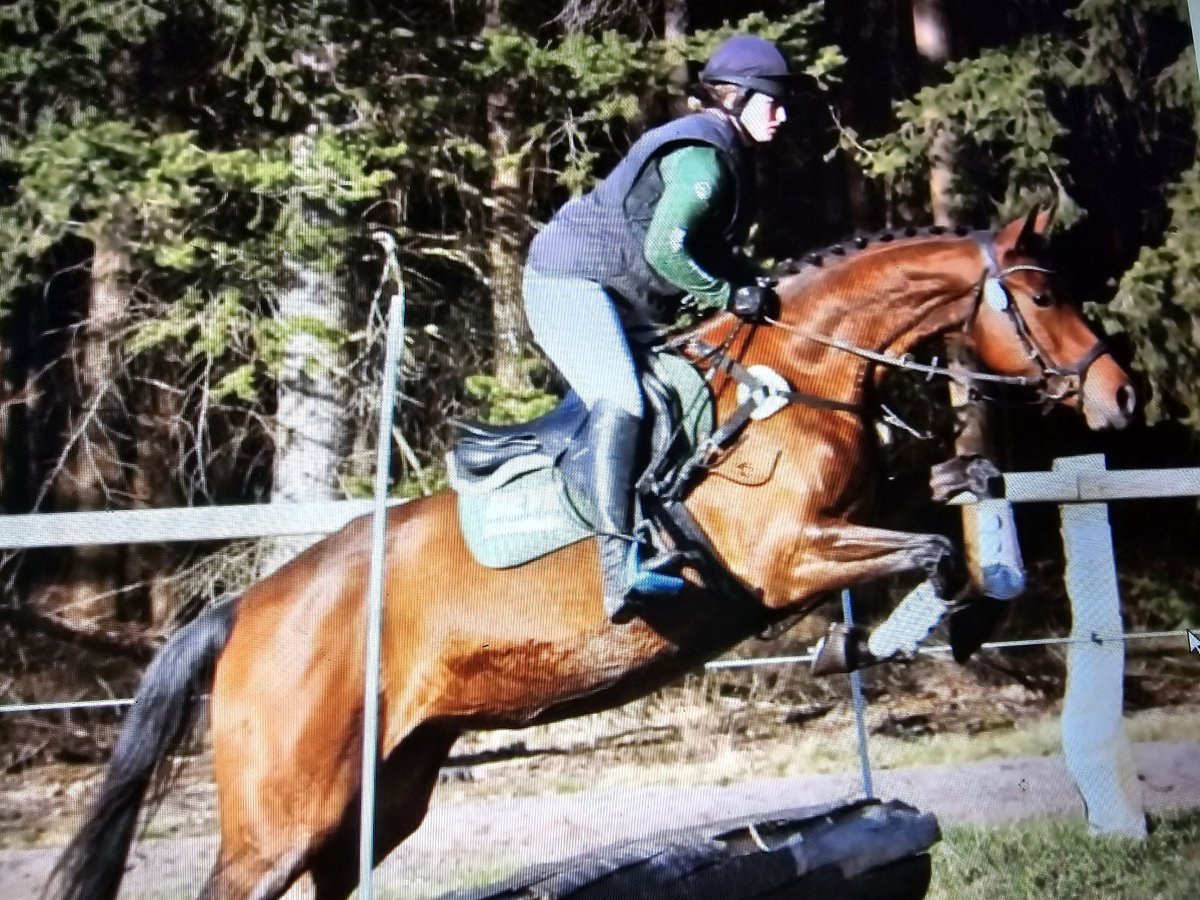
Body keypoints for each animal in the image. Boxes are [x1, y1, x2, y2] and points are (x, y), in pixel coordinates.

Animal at [46, 211, 1132, 900]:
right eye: (1042, 294)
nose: (1117, 397)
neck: (801, 371)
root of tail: (248, 612)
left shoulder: (863, 508)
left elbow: (965, 489)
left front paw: (973, 613)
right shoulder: (786, 558)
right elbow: (926, 551)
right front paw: (866, 644)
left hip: (378, 795)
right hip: (285, 814)